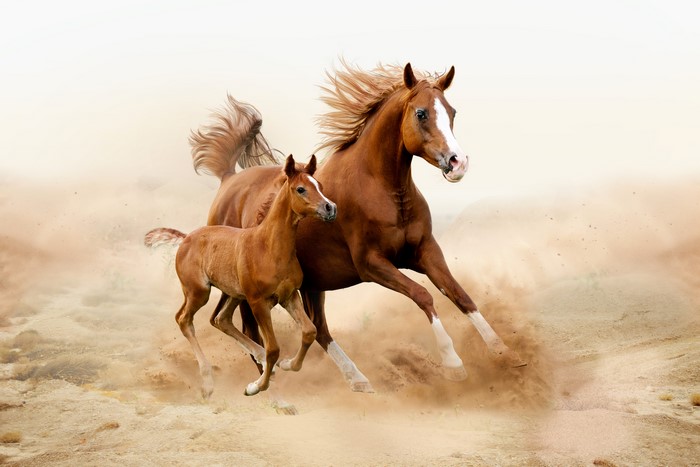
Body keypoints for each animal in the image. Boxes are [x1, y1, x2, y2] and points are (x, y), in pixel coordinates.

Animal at [145, 155, 337, 398]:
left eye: (319, 185)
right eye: (301, 189)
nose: (330, 208)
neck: (269, 247)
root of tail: (186, 237)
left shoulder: (289, 296)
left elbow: (309, 332)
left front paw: (287, 365)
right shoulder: (258, 302)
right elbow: (274, 348)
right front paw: (255, 386)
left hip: (233, 294)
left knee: (221, 319)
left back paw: (261, 360)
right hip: (199, 292)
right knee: (184, 319)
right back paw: (208, 382)